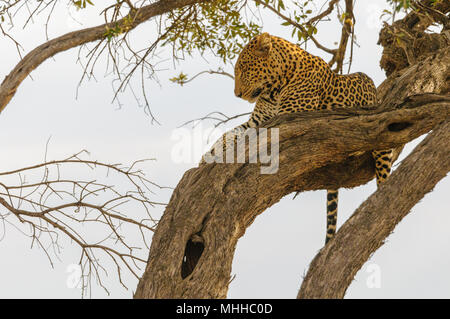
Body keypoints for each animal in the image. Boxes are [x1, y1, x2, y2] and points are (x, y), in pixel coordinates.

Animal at [202, 33, 392, 245]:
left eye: (243, 69)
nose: (237, 94)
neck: (273, 89)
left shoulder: (286, 119)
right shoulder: (257, 121)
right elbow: (230, 134)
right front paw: (210, 153)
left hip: (383, 147)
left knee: (384, 174)